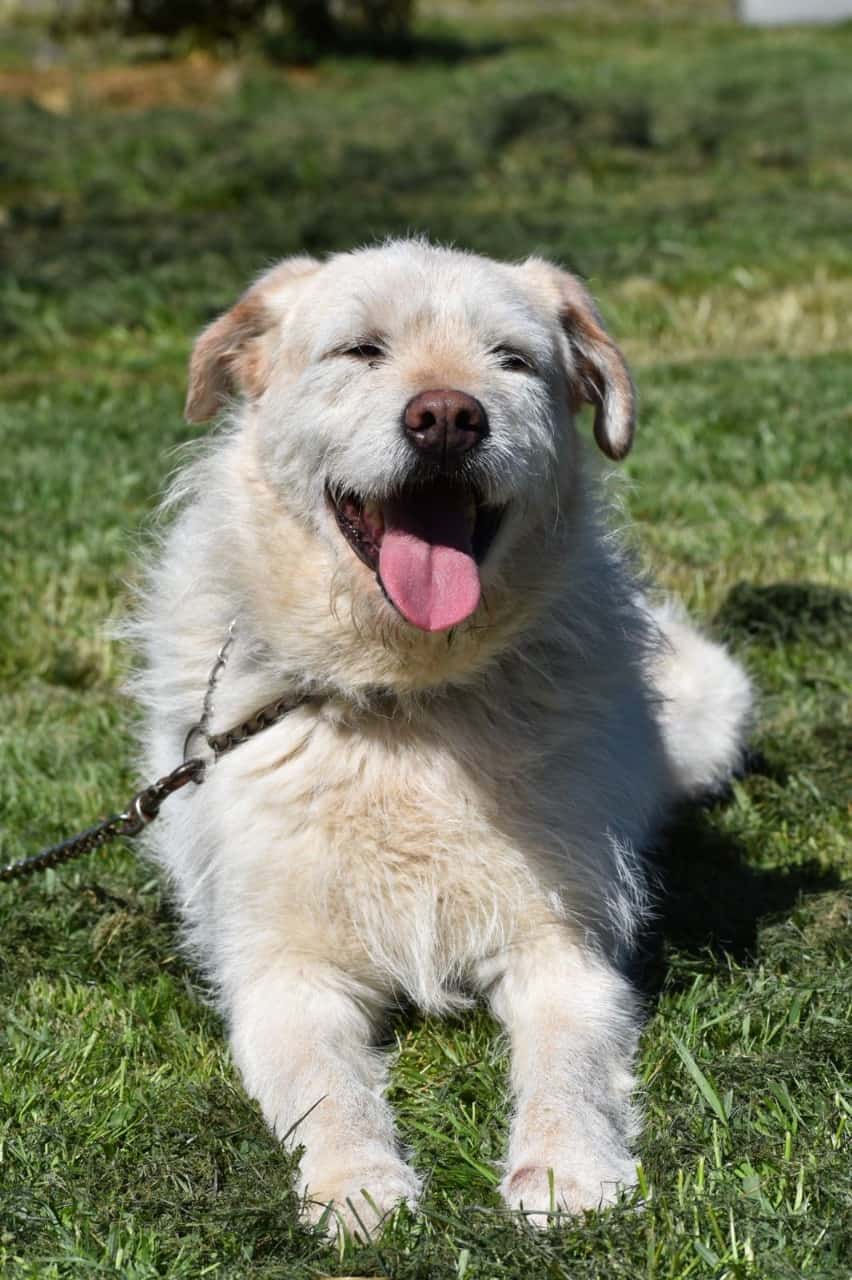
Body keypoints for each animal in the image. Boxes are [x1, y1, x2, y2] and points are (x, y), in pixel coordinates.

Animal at [127, 238, 752, 1228]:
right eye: (360, 350)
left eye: (512, 359)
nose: (449, 419)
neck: (406, 698)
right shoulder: (281, 971)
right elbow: (326, 1088)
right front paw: (356, 1184)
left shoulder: (563, 949)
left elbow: (567, 1068)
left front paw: (566, 1167)